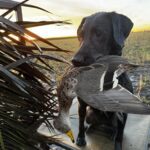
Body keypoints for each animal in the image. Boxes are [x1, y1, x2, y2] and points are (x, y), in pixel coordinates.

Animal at [71, 12, 134, 150]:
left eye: (99, 33)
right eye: (80, 35)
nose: (75, 61)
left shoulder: (123, 112)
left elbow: (120, 136)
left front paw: (118, 146)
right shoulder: (81, 105)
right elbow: (80, 123)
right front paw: (81, 138)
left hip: (115, 119)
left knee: (117, 130)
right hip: (90, 114)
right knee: (90, 123)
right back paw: (89, 128)